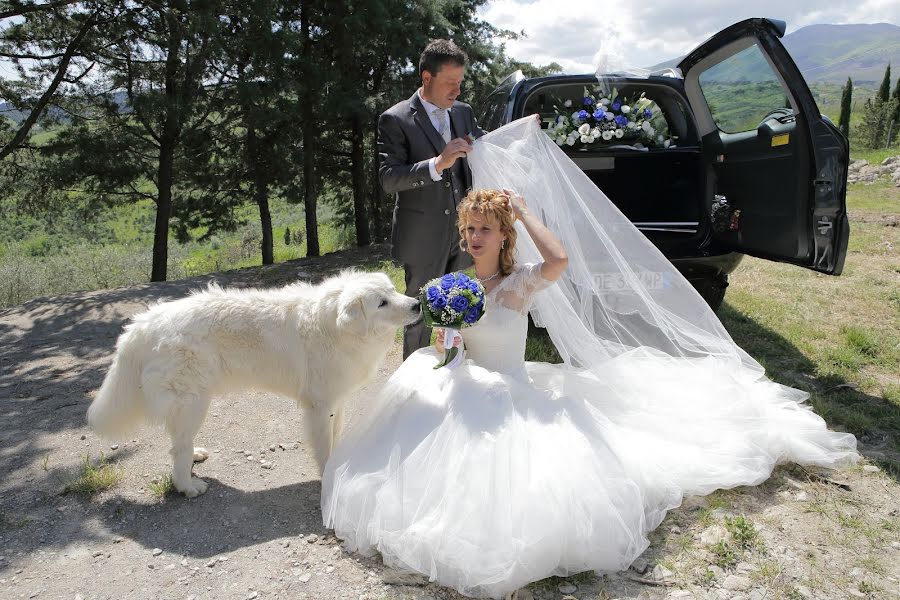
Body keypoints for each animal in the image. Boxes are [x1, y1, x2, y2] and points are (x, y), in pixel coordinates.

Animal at [86, 270, 420, 496]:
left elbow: (335, 438)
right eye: (382, 303)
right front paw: (329, 476)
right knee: (178, 447)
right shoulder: (320, 405)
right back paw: (188, 486)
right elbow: (324, 447)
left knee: (179, 442)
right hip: (193, 401)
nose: (417, 304)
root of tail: (143, 323)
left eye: (393, 290)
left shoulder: (337, 402)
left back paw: (195, 456)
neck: (334, 326)